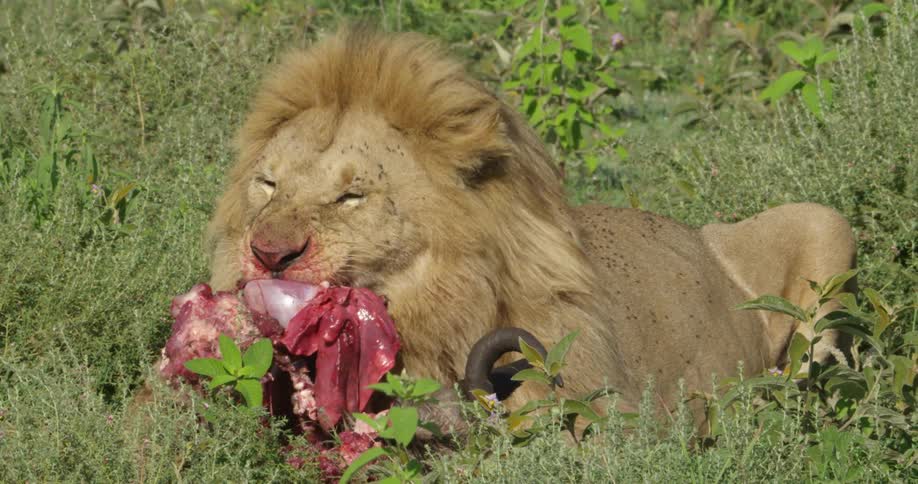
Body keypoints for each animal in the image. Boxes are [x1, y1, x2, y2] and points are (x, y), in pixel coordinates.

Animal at [206, 27, 856, 424]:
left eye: (351, 196)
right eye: (268, 184)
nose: (268, 254)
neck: (437, 311)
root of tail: (701, 231)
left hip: (824, 219)